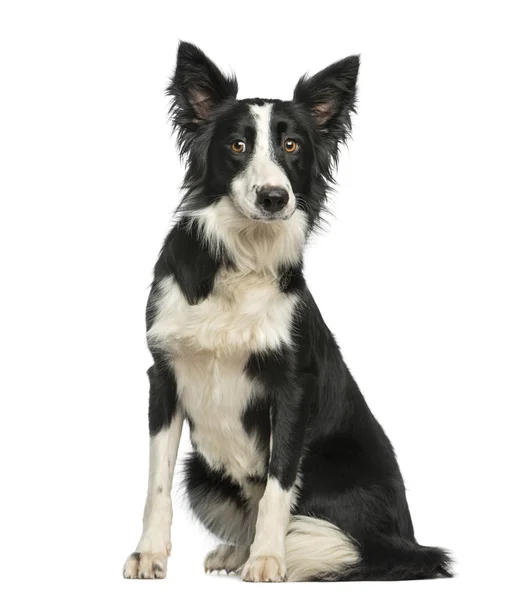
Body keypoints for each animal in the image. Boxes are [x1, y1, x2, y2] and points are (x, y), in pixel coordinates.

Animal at [122, 41, 450, 580]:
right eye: (237, 146)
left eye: (293, 146)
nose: (274, 198)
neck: (240, 260)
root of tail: (408, 540)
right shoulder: (163, 375)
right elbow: (156, 483)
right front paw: (149, 554)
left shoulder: (293, 387)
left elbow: (278, 483)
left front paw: (268, 559)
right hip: (200, 470)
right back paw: (236, 551)